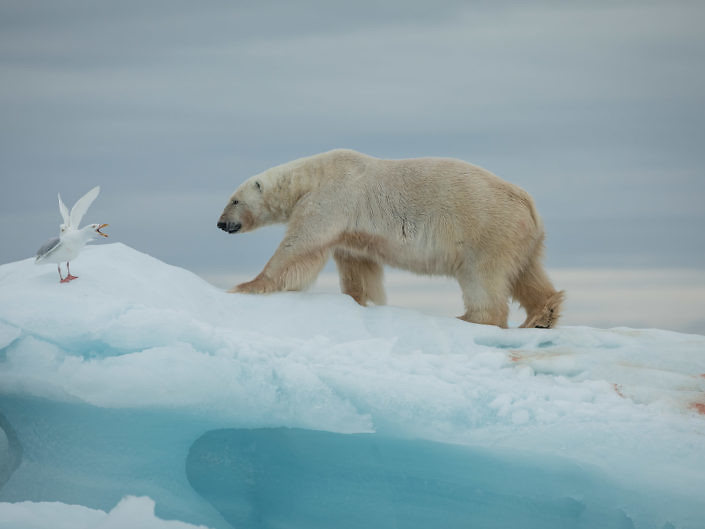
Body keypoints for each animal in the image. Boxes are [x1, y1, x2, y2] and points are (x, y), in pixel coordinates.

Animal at [217, 148, 564, 328]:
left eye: (234, 200)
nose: (221, 224)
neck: (312, 175)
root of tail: (528, 203)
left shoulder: (332, 197)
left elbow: (300, 245)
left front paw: (247, 286)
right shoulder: (351, 229)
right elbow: (358, 265)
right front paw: (361, 300)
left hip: (486, 229)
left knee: (482, 277)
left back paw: (471, 318)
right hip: (520, 236)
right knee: (527, 272)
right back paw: (542, 315)